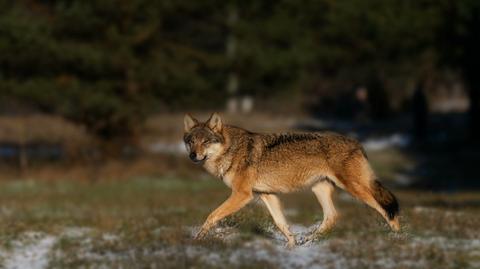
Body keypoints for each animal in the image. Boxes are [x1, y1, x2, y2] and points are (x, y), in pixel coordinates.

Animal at [182, 112, 400, 246]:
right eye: (191, 141)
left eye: (205, 141)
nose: (193, 156)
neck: (232, 150)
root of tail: (357, 143)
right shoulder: (266, 195)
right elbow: (282, 224)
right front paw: (292, 247)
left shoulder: (242, 195)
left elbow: (212, 216)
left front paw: (197, 240)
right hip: (319, 190)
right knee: (332, 217)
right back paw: (310, 241)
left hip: (355, 189)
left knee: (386, 209)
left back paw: (398, 237)